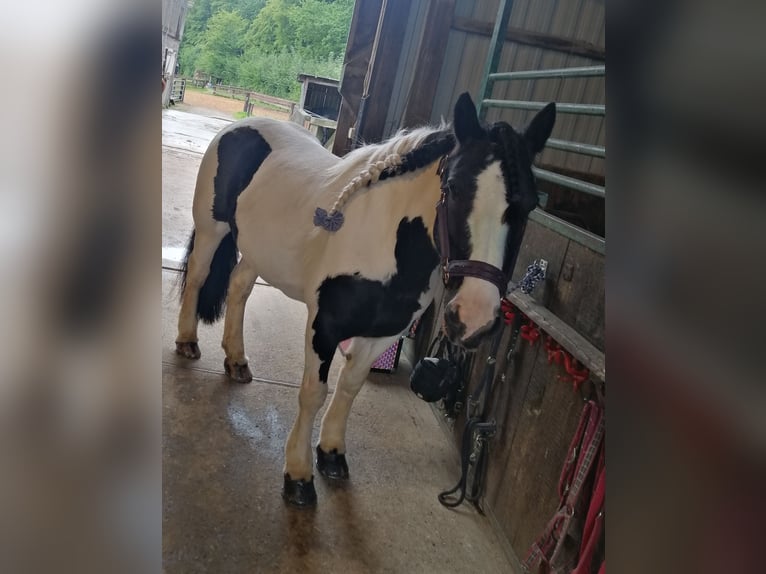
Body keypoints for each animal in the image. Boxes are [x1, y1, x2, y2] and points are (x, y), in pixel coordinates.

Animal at [176, 92, 556, 506]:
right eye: (454, 188)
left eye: (530, 204)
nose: (474, 318)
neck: (385, 242)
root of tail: (240, 126)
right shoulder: (324, 326)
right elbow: (314, 393)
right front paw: (298, 475)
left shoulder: (384, 333)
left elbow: (351, 386)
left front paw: (331, 454)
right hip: (212, 230)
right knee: (197, 278)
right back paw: (187, 342)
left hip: (260, 253)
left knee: (240, 286)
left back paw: (237, 360)